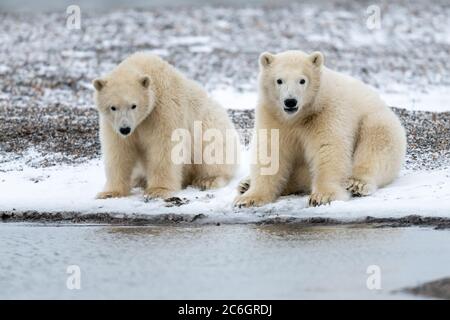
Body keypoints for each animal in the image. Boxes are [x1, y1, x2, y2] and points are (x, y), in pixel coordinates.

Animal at [94, 51, 239, 199]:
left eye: (133, 105)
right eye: (113, 107)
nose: (125, 129)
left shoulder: (164, 109)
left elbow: (164, 146)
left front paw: (157, 190)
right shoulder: (112, 124)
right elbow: (119, 150)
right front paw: (110, 193)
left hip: (212, 126)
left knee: (212, 150)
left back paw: (207, 180)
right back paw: (138, 180)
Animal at [236, 50, 408, 208]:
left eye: (302, 80)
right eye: (279, 80)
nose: (290, 101)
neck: (299, 117)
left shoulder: (326, 113)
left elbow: (328, 149)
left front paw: (322, 196)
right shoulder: (273, 116)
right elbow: (270, 151)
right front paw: (248, 199)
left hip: (379, 121)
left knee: (376, 142)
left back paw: (357, 184)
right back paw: (245, 184)